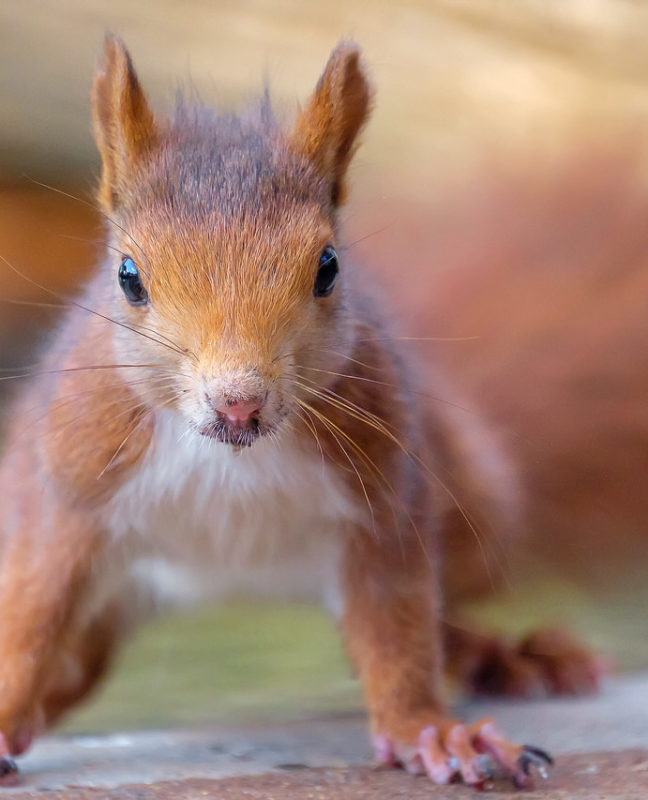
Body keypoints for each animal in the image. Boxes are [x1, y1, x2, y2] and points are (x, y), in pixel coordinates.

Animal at [0, 36, 596, 788]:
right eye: (128, 277)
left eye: (329, 267)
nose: (239, 401)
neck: (229, 457)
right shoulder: (67, 491)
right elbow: (30, 616)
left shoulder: (382, 496)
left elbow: (398, 624)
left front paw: (430, 731)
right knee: (72, 664)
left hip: (476, 506)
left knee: (441, 615)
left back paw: (513, 656)